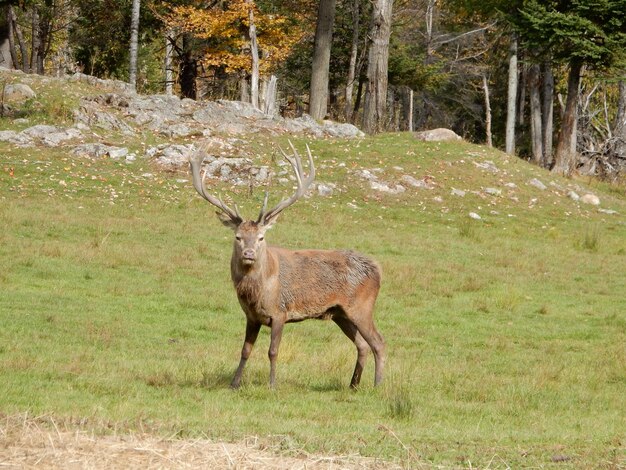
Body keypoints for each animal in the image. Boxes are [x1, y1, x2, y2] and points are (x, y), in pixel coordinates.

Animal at [189, 142, 386, 390]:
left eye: (261, 237)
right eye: (238, 237)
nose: (248, 253)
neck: (257, 292)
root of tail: (377, 269)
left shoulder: (279, 313)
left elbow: (273, 351)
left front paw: (272, 385)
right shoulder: (251, 317)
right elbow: (245, 350)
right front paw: (234, 384)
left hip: (362, 306)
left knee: (378, 342)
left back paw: (378, 385)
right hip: (340, 313)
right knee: (361, 344)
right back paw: (353, 385)